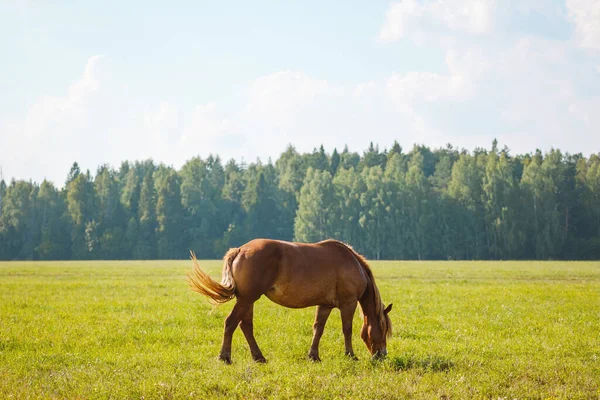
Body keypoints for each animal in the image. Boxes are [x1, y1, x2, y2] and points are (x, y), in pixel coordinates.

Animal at [189, 239, 394, 364]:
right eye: (383, 328)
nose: (382, 355)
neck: (352, 264)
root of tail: (240, 250)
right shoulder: (348, 303)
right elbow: (347, 330)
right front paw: (350, 355)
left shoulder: (325, 305)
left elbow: (318, 329)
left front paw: (313, 356)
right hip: (247, 299)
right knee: (231, 323)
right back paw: (225, 357)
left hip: (247, 300)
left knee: (245, 325)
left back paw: (259, 357)